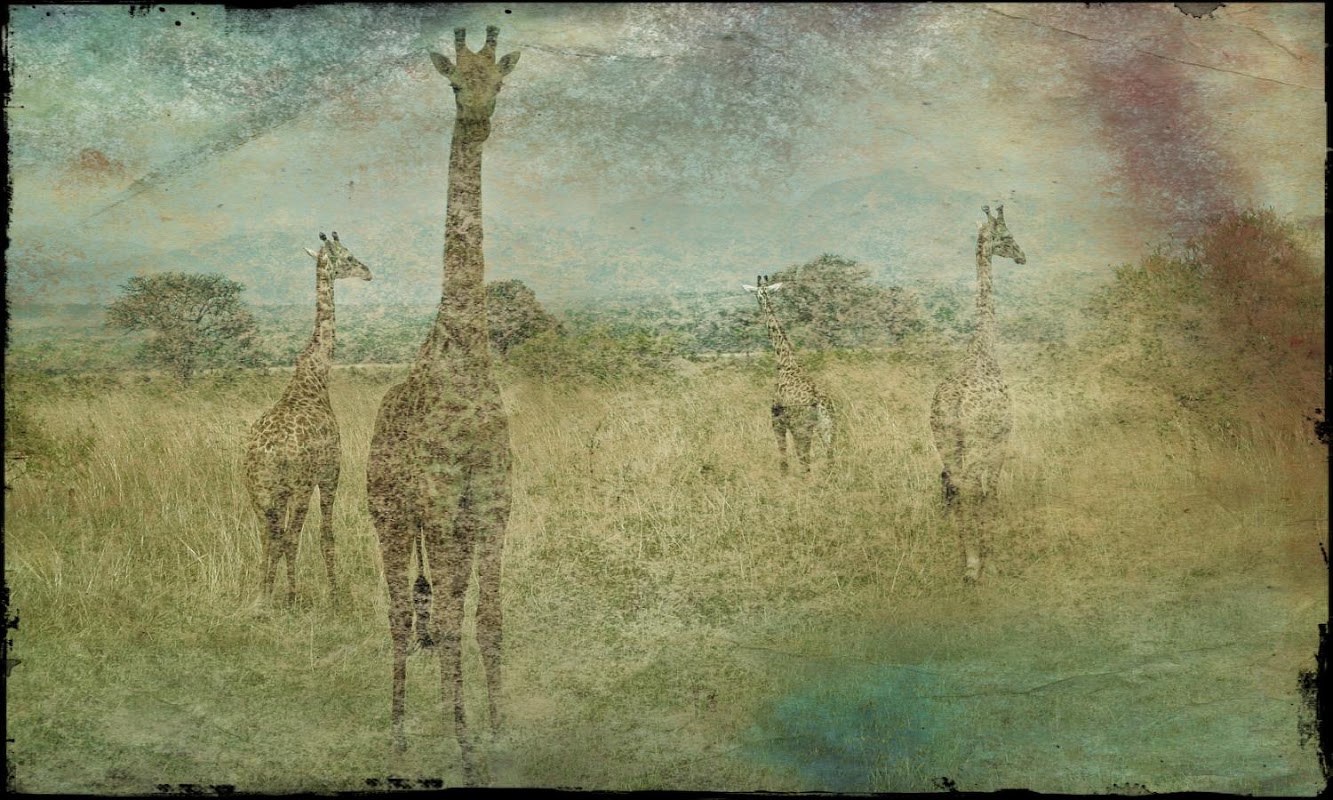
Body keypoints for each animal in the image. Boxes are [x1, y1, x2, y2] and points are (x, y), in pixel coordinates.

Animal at [243, 231, 372, 606]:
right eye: (348, 257)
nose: (368, 272)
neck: (315, 376)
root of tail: (268, 453)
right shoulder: (331, 472)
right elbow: (327, 534)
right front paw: (335, 592)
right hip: (298, 486)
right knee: (289, 536)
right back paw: (290, 597)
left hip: (258, 490)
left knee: (268, 537)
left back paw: (263, 596)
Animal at [744, 274, 836, 475]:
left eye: (757, 293)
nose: (758, 301)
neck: (786, 362)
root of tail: (820, 404)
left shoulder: (776, 418)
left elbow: (783, 455)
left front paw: (783, 476)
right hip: (828, 428)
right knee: (830, 460)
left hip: (801, 428)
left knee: (805, 461)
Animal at [929, 204, 1028, 584]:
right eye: (1008, 237)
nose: (1022, 256)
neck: (983, 347)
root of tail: (952, 406)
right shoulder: (1002, 439)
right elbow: (990, 493)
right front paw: (990, 560)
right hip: (973, 444)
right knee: (970, 488)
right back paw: (973, 564)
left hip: (944, 442)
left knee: (954, 485)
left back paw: (965, 559)